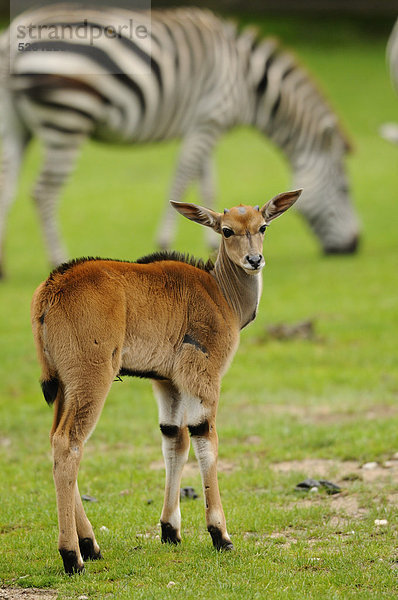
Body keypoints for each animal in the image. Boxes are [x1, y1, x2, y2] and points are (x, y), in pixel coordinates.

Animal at [0, 5, 360, 276]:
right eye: (345, 189)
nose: (354, 247)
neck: (249, 84)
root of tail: (15, 31)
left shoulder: (207, 125)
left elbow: (207, 185)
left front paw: (212, 240)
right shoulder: (209, 118)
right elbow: (185, 175)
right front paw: (165, 241)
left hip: (17, 125)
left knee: (8, 185)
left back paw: (3, 267)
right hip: (68, 118)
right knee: (43, 192)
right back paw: (57, 258)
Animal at [31, 190, 302, 576]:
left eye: (262, 226)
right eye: (227, 230)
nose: (254, 260)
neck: (219, 292)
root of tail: (52, 287)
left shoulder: (167, 384)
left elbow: (175, 440)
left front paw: (170, 529)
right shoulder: (203, 377)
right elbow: (206, 441)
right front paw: (220, 535)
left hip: (65, 389)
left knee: (58, 443)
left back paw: (91, 545)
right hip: (91, 380)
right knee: (68, 444)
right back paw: (73, 556)